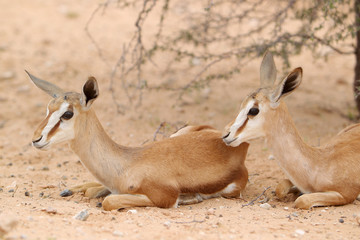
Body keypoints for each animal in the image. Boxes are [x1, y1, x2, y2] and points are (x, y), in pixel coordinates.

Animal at [26, 71, 249, 210]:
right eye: (48, 108)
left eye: (67, 114)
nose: (36, 139)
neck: (127, 164)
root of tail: (239, 147)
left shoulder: (164, 198)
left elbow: (109, 202)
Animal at [221, 52, 360, 208]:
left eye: (253, 110)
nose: (226, 134)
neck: (319, 165)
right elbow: (280, 187)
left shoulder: (345, 194)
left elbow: (302, 200)